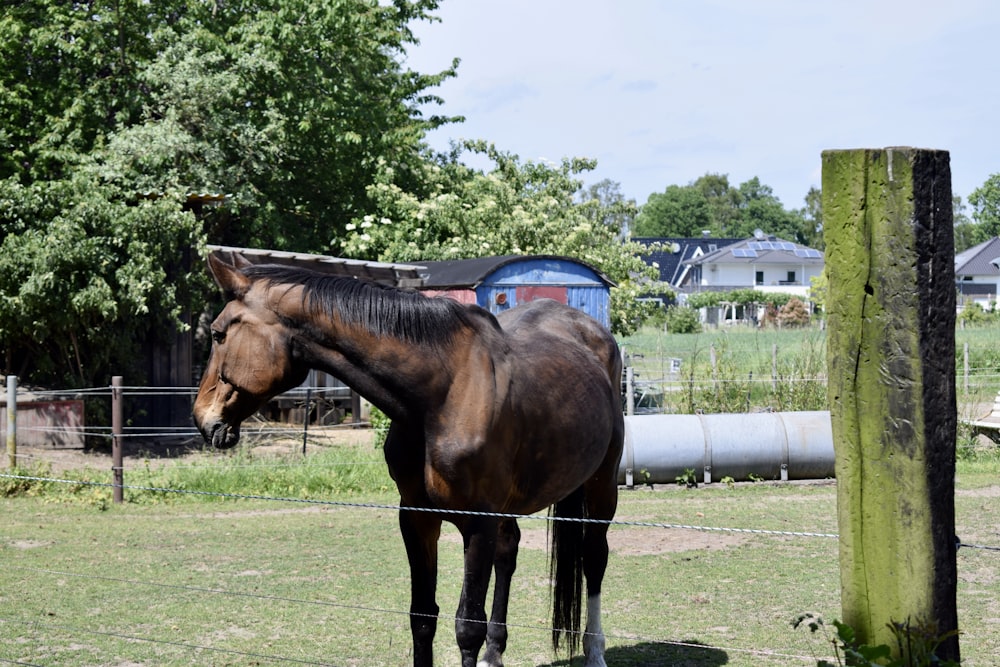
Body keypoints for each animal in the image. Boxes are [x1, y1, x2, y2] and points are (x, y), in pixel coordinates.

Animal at [191, 256, 620, 667]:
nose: (202, 418)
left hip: (601, 486)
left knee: (594, 558)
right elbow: (422, 617)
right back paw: (495, 654)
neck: (440, 395)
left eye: (218, 333)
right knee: (509, 551)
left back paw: (595, 652)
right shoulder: (417, 517)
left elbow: (468, 626)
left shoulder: (477, 523)